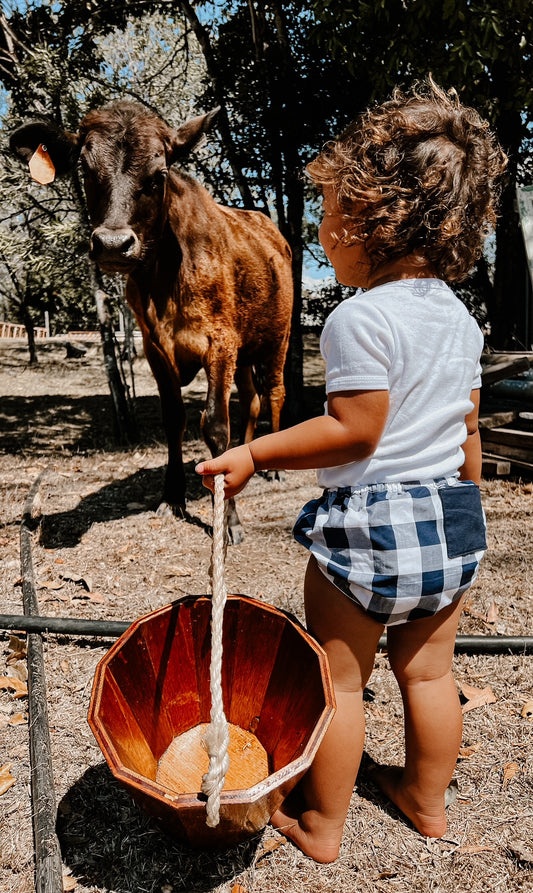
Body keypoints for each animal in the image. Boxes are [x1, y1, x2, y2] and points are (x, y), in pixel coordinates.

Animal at [10, 101, 294, 540]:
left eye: (158, 176)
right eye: (85, 170)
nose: (112, 244)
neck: (164, 279)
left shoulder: (220, 343)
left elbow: (215, 424)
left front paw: (228, 517)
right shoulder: (155, 346)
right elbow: (173, 418)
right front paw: (173, 496)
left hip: (278, 337)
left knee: (275, 394)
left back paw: (275, 468)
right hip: (246, 351)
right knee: (251, 400)